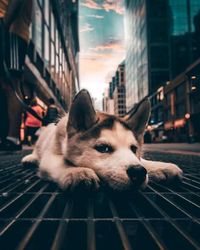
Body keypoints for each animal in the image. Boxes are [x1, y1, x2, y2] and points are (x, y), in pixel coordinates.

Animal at [21, 89, 183, 189]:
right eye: (103, 148)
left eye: (134, 149)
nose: (138, 172)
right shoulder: (50, 156)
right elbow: (61, 162)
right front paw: (77, 171)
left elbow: (142, 161)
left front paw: (161, 167)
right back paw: (30, 158)